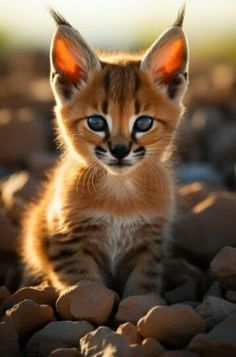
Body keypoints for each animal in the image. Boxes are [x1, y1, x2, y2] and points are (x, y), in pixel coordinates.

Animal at [21, 6, 189, 296]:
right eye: (96, 123)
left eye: (143, 123)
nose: (120, 150)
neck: (119, 190)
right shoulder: (67, 241)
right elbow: (82, 283)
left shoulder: (150, 243)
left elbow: (143, 286)